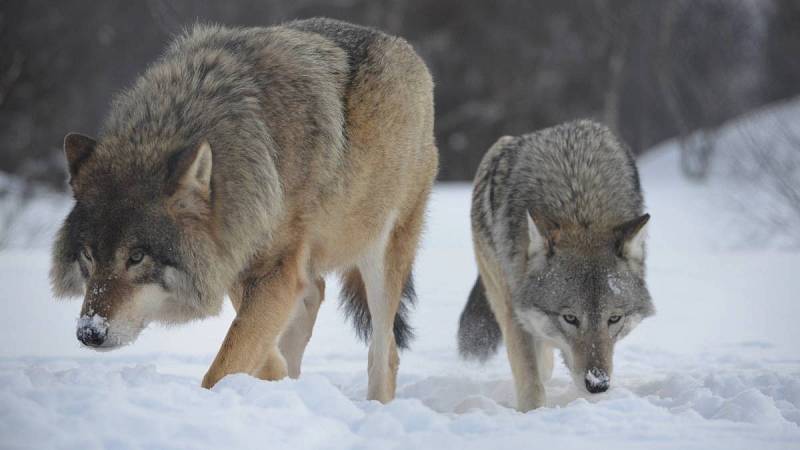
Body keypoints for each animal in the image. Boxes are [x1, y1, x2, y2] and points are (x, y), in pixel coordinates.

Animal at [50, 18, 438, 404]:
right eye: (88, 256)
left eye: (136, 257)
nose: (89, 332)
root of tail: (407, 50)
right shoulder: (238, 258)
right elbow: (257, 346)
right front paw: (276, 379)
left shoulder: (272, 270)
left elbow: (224, 365)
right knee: (313, 295)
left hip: (380, 253)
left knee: (384, 352)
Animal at [460, 120, 652, 412]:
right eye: (570, 318)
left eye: (614, 319)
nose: (598, 384)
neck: (580, 204)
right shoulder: (515, 312)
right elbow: (531, 380)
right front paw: (533, 413)